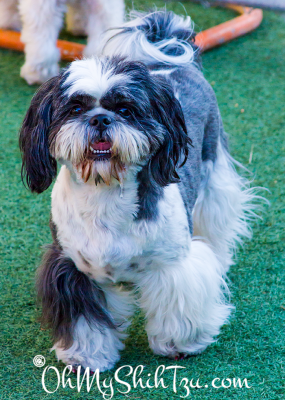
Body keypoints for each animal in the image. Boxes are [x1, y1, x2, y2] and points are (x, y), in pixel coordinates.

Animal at [19, 10, 255, 372]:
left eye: (125, 110)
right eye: (75, 109)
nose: (100, 119)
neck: (105, 195)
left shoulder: (173, 264)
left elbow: (177, 305)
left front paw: (178, 344)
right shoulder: (73, 268)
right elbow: (86, 320)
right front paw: (87, 356)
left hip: (213, 168)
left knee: (216, 218)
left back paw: (218, 256)